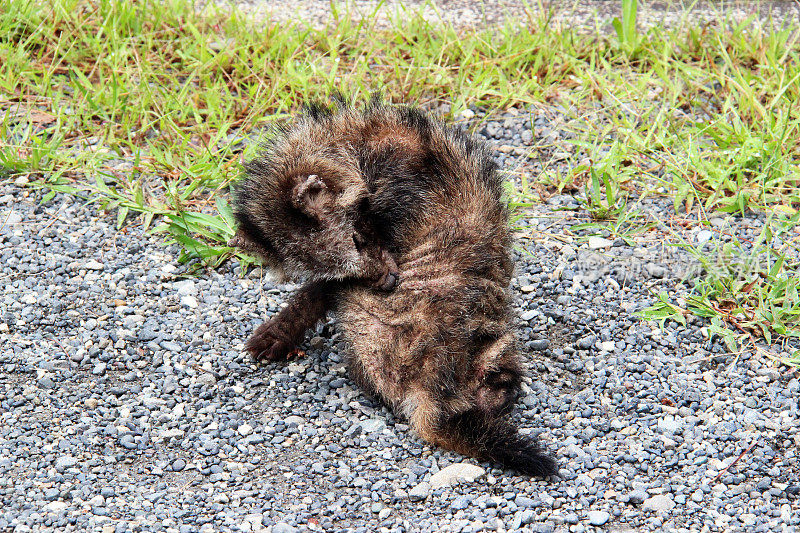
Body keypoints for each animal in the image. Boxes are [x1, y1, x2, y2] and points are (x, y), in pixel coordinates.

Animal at [231, 97, 556, 476]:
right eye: (342, 270)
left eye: (357, 239)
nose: (388, 282)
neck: (351, 144)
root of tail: (432, 398)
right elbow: (320, 288)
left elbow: (318, 291)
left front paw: (280, 329)